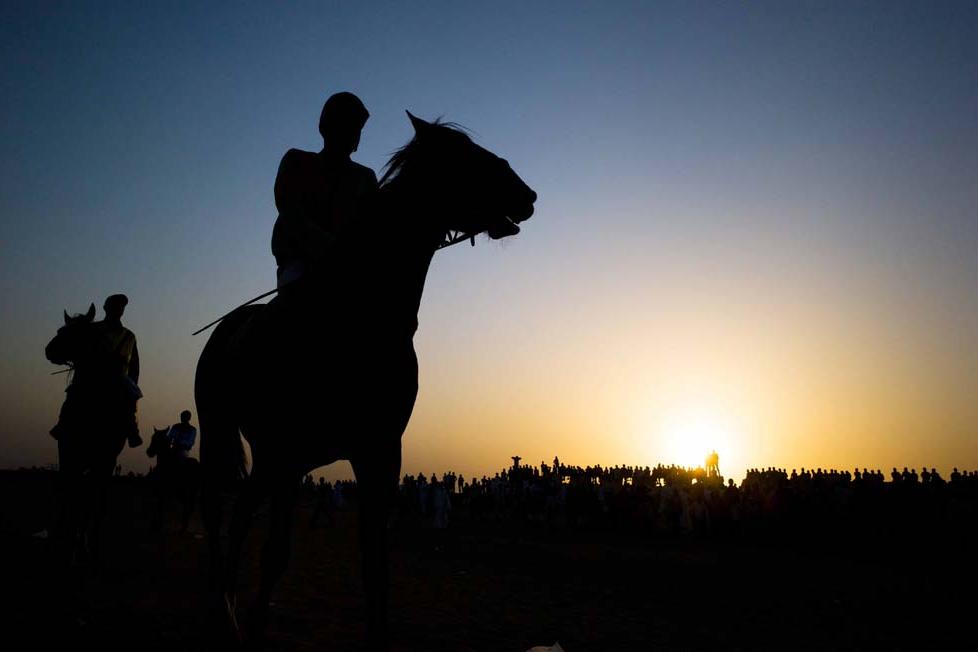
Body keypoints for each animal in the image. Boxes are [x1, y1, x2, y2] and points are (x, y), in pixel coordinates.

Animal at [195, 112, 536, 647]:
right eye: (464, 156)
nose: (526, 193)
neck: (359, 319)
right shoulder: (289, 453)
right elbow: (276, 554)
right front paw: (254, 629)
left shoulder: (378, 451)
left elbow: (375, 560)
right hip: (221, 433)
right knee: (218, 511)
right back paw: (221, 607)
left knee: (242, 511)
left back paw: (227, 603)